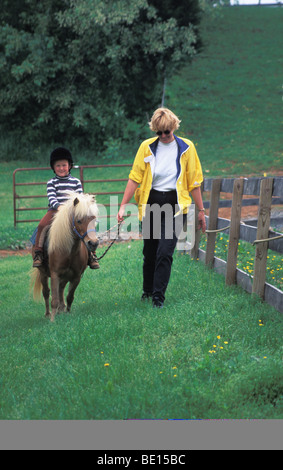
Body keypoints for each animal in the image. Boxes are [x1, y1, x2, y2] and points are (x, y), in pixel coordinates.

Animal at [31, 193, 99, 322]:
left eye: (94, 220)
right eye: (79, 220)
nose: (93, 243)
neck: (70, 251)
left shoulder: (76, 276)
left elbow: (69, 296)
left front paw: (67, 313)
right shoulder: (55, 274)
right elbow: (54, 299)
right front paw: (52, 321)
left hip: (65, 276)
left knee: (61, 289)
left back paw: (61, 310)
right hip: (43, 273)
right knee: (46, 292)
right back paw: (48, 314)